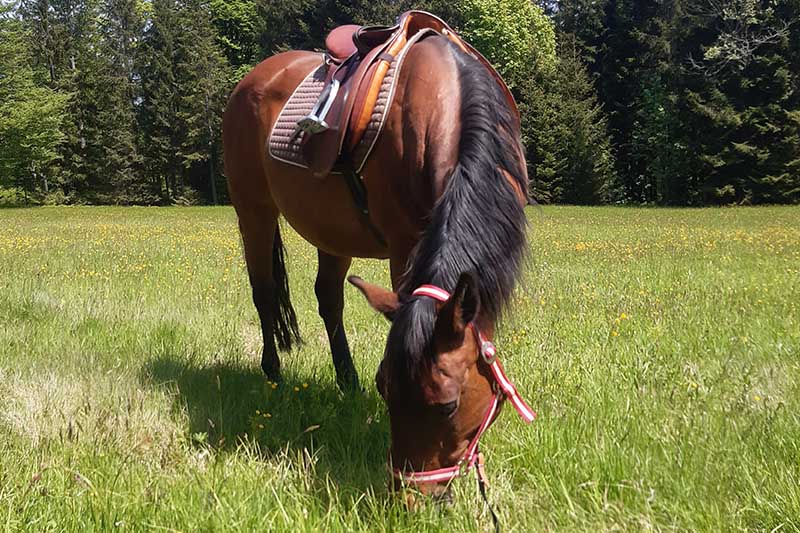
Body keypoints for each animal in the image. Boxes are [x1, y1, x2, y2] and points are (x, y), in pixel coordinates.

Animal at [220, 12, 532, 496]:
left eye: (448, 405)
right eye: (386, 389)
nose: (410, 495)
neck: (453, 99)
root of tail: (254, 76)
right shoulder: (405, 246)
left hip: (331, 230)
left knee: (328, 298)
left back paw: (346, 381)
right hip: (253, 211)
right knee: (265, 292)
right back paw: (272, 373)